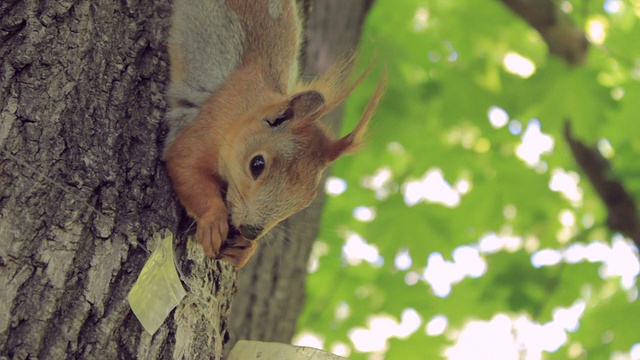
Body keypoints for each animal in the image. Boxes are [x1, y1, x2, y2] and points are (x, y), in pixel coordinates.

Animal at [165, 0, 384, 268]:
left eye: (306, 201)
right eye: (256, 165)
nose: (250, 231)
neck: (243, 112)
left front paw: (245, 250)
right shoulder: (206, 127)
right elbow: (183, 165)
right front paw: (213, 221)